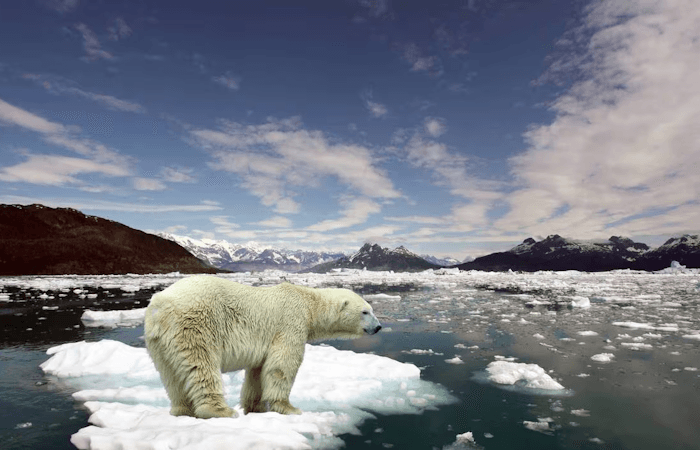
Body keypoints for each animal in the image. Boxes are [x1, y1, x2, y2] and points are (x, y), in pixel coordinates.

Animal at [144, 276, 382, 420]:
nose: (378, 327)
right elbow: (282, 365)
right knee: (201, 366)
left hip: (159, 342)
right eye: (365, 312)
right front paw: (289, 408)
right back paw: (221, 410)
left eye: (371, 309)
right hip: (195, 325)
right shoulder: (290, 323)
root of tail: (160, 305)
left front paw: (255, 407)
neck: (308, 303)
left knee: (171, 376)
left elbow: (258, 372)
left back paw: (182, 410)